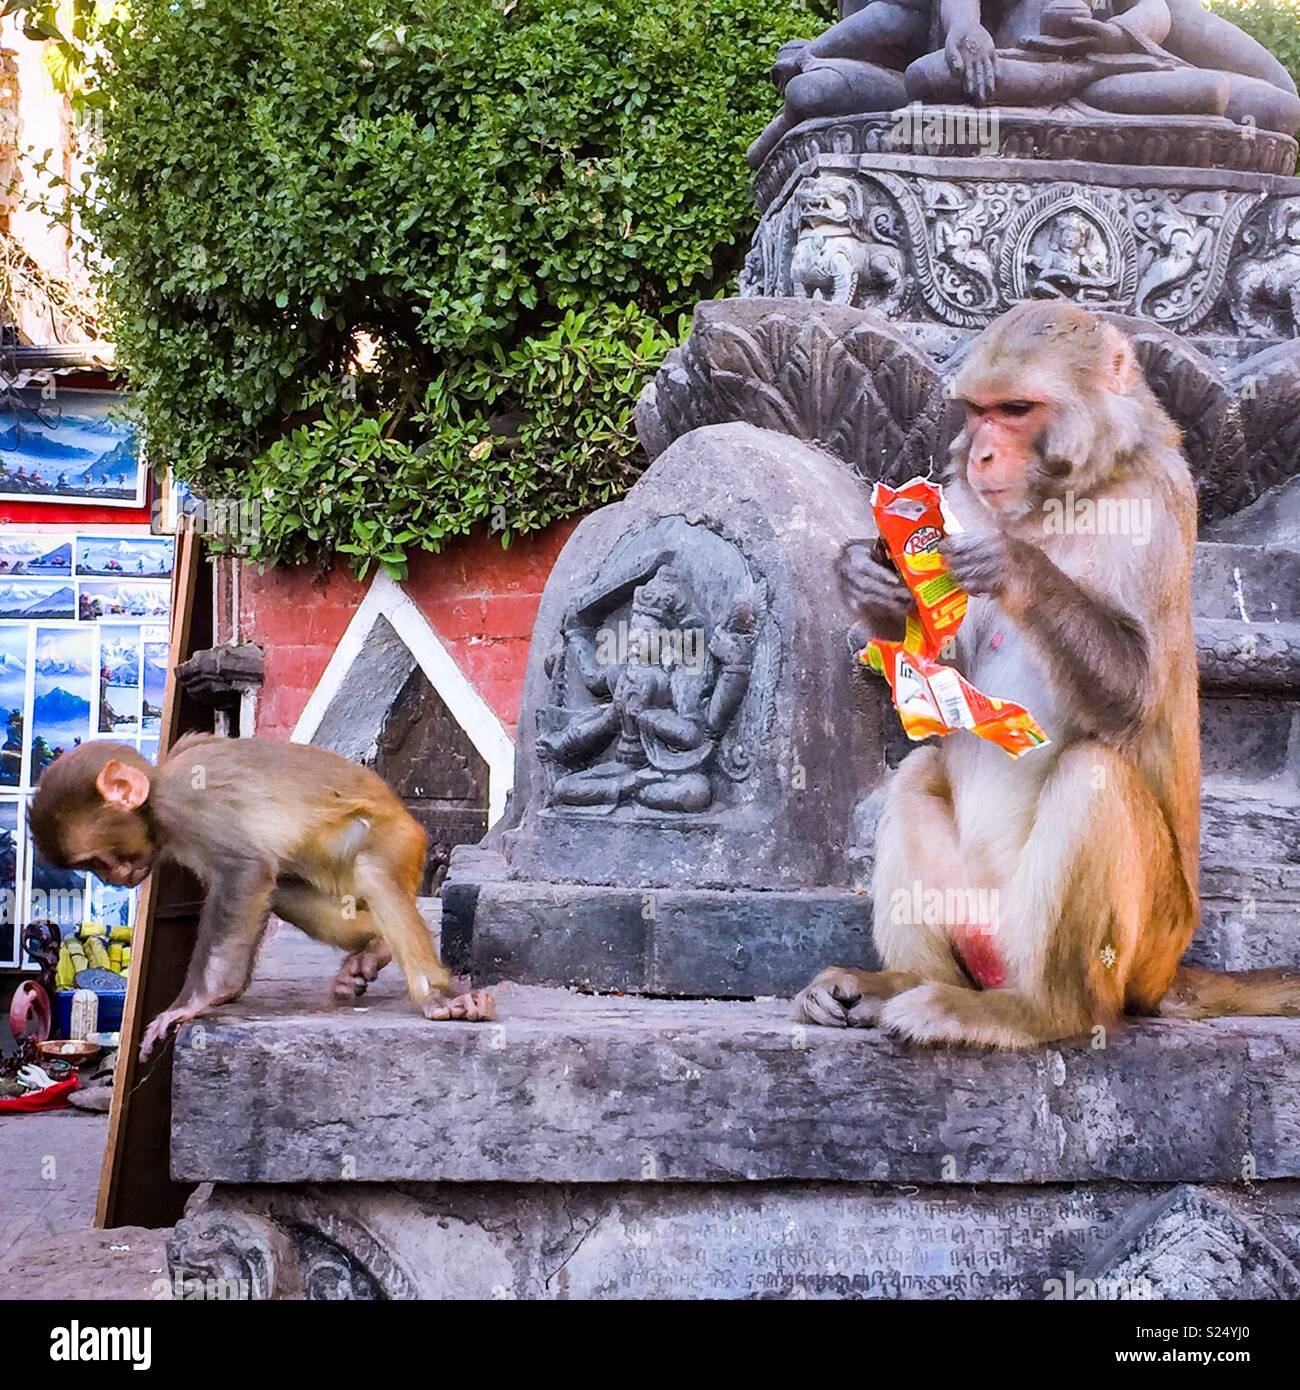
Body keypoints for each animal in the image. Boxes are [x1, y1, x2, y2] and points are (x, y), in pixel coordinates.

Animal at [28, 735, 495, 1060]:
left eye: (97, 860)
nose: (117, 877)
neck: (157, 789)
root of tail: (414, 825)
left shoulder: (186, 805)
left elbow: (244, 871)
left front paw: (199, 1001)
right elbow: (257, 882)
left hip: (396, 840)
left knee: (374, 874)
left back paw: (438, 996)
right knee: (284, 888)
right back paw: (374, 947)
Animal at [794, 299, 1300, 1048]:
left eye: (1016, 408)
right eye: (977, 411)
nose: (979, 452)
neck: (1065, 496)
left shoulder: (1158, 500)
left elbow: (1135, 698)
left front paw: (1015, 566)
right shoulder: (962, 499)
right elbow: (942, 673)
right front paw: (872, 580)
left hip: (1140, 949)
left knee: (1095, 777)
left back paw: (1038, 1012)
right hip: (981, 917)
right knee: (919, 774)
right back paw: (900, 984)